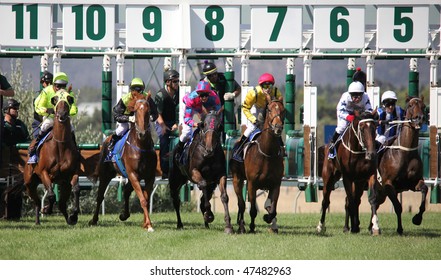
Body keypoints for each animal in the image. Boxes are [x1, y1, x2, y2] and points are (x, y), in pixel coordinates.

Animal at [22, 89, 79, 225]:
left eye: (69, 99)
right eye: (55, 99)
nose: (62, 115)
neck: (60, 145)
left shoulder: (72, 173)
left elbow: (76, 189)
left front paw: (74, 215)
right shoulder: (44, 173)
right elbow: (52, 195)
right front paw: (47, 209)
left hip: (63, 184)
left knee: (62, 204)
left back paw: (69, 219)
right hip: (29, 182)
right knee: (37, 201)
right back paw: (38, 220)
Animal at [87, 94, 156, 232]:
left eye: (148, 111)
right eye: (135, 111)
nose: (142, 133)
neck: (141, 146)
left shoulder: (149, 176)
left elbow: (145, 199)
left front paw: (146, 223)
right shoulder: (133, 174)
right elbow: (143, 200)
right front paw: (149, 225)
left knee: (126, 191)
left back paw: (124, 215)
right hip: (106, 174)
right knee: (100, 196)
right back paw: (94, 220)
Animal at [229, 95, 284, 233]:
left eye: (283, 110)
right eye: (269, 110)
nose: (278, 127)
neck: (267, 152)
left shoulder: (276, 184)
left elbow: (272, 209)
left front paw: (268, 219)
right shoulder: (252, 184)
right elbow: (253, 209)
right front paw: (252, 227)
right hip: (237, 179)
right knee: (241, 204)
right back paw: (241, 225)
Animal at [370, 96, 428, 234]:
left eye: (423, 106)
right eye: (411, 105)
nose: (419, 118)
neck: (405, 152)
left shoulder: (413, 182)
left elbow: (424, 189)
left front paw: (417, 219)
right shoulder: (388, 184)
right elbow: (398, 207)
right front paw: (400, 229)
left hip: (382, 192)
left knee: (377, 203)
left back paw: (371, 227)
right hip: (376, 185)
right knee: (373, 202)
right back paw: (375, 227)